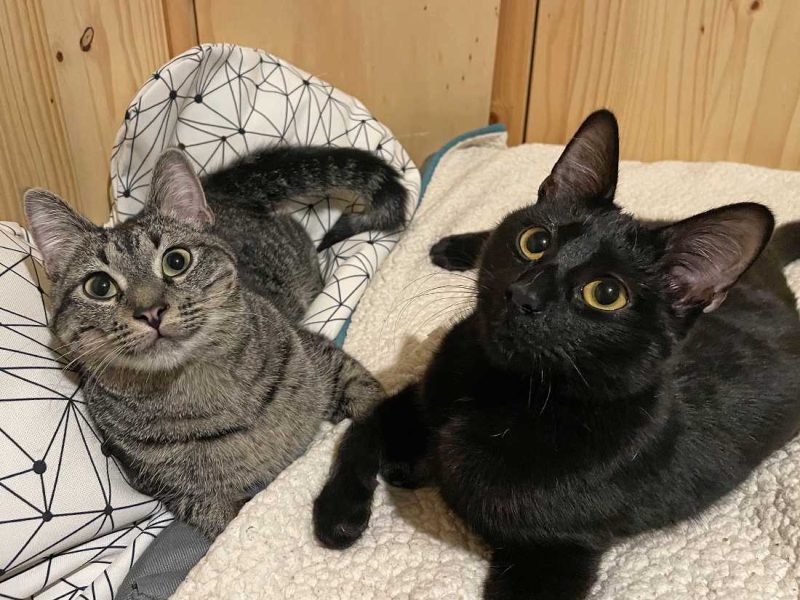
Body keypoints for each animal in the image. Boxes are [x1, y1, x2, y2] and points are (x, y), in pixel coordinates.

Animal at [24, 145, 408, 540]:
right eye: (100, 286)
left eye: (176, 261)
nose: (150, 311)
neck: (201, 387)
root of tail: (217, 187)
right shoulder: (181, 496)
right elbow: (232, 524)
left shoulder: (327, 359)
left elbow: (370, 412)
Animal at [312, 110, 800, 599]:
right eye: (535, 242)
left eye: (607, 294)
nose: (523, 294)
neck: (504, 390)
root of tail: (772, 275)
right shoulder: (421, 391)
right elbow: (362, 425)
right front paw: (339, 511)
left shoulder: (557, 555)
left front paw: (390, 474)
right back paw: (451, 247)